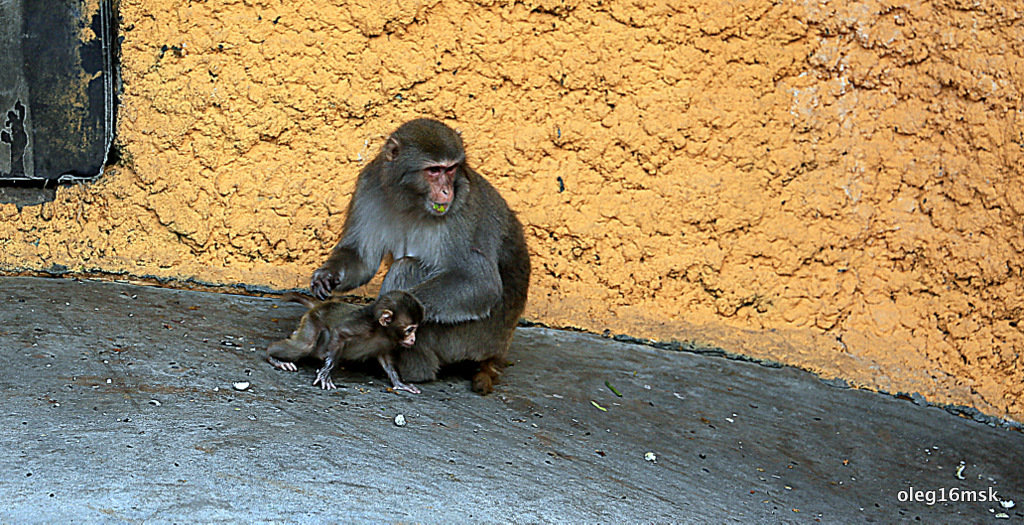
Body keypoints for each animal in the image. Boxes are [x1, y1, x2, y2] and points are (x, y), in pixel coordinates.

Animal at [268, 290, 423, 392]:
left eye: (415, 329)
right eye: (410, 329)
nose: (413, 339)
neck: (382, 331)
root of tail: (323, 305)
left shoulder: (387, 342)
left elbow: (386, 360)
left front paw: (399, 383)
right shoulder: (363, 326)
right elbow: (339, 333)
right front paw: (326, 372)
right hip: (313, 320)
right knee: (304, 346)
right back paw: (273, 356)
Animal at [309, 116, 532, 390]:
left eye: (451, 169)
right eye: (434, 170)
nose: (447, 191)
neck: (412, 201)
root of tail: (498, 349)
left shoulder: (462, 210)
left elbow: (479, 282)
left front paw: (372, 315)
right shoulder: (370, 186)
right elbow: (362, 258)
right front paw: (327, 276)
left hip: (467, 340)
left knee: (407, 268)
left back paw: (411, 369)